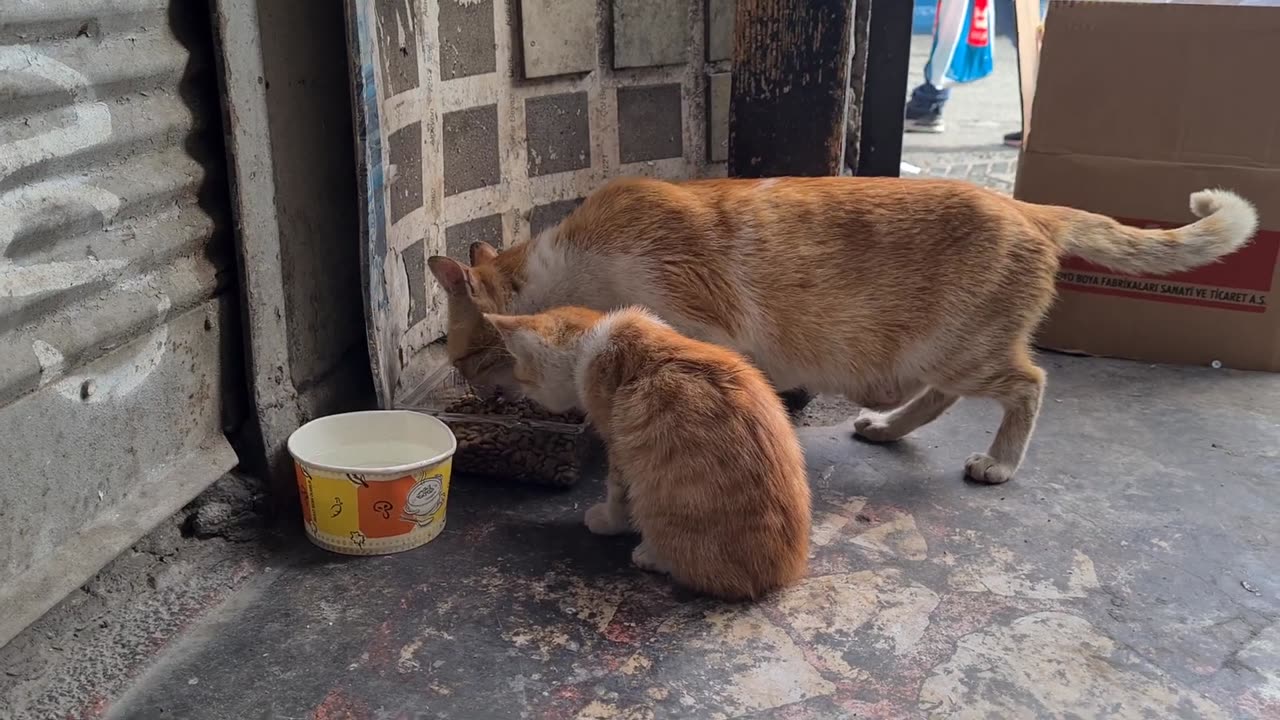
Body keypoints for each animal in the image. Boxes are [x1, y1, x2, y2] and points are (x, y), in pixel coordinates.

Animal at [424, 176, 1254, 484]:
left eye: (461, 357)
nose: (473, 393)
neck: (575, 268)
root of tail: (1025, 206)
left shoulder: (699, 322)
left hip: (964, 353)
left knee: (1030, 383)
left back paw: (998, 462)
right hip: (940, 355)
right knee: (942, 397)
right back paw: (885, 428)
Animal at [481, 303, 808, 599]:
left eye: (521, 373)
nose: (522, 393)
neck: (593, 341)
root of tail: (778, 574)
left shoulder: (616, 441)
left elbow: (616, 492)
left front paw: (608, 521)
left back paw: (650, 555)